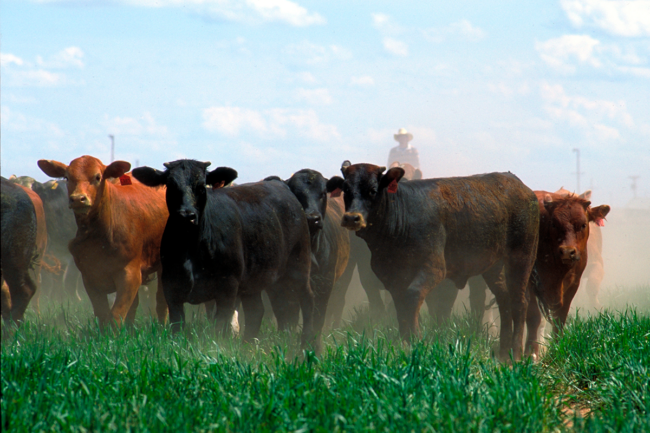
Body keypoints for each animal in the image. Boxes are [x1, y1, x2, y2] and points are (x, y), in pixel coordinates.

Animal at [37, 155, 170, 324]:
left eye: (97, 177)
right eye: (67, 177)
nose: (78, 199)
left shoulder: (130, 276)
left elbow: (116, 315)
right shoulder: (90, 277)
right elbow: (103, 314)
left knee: (161, 304)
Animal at [132, 159, 314, 344]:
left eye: (202, 186)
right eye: (171, 185)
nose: (186, 216)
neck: (192, 247)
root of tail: (281, 185)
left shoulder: (228, 288)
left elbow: (219, 328)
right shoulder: (171, 288)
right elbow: (178, 326)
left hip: (299, 265)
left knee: (306, 300)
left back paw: (308, 341)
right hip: (256, 280)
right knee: (258, 311)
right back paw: (247, 344)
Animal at [262, 169, 346, 344]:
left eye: (323, 193)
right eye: (297, 194)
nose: (312, 219)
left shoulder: (325, 283)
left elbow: (318, 318)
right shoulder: (277, 287)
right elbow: (284, 317)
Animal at [326, 161, 540, 358]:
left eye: (372, 190)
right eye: (346, 190)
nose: (352, 218)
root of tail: (519, 185)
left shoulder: (433, 269)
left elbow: (412, 297)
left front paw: (416, 341)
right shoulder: (393, 279)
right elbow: (401, 309)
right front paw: (406, 343)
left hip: (521, 258)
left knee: (519, 302)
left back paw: (516, 353)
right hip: (494, 267)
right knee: (504, 299)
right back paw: (503, 352)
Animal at [520, 191, 608, 356]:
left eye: (583, 224)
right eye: (554, 224)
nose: (567, 251)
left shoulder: (574, 283)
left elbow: (560, 317)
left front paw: (557, 347)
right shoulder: (530, 282)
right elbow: (534, 316)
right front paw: (531, 352)